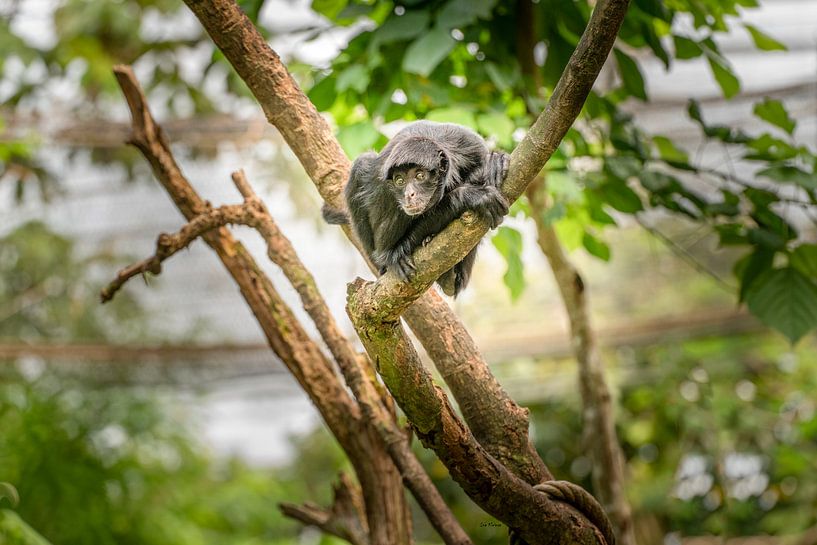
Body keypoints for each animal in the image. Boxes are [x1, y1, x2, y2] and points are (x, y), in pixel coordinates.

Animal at [323, 121, 510, 296]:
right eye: (399, 180)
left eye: (420, 175)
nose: (409, 194)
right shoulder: (382, 188)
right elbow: (384, 251)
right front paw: (471, 195)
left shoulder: (468, 142)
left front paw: (496, 161)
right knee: (361, 164)